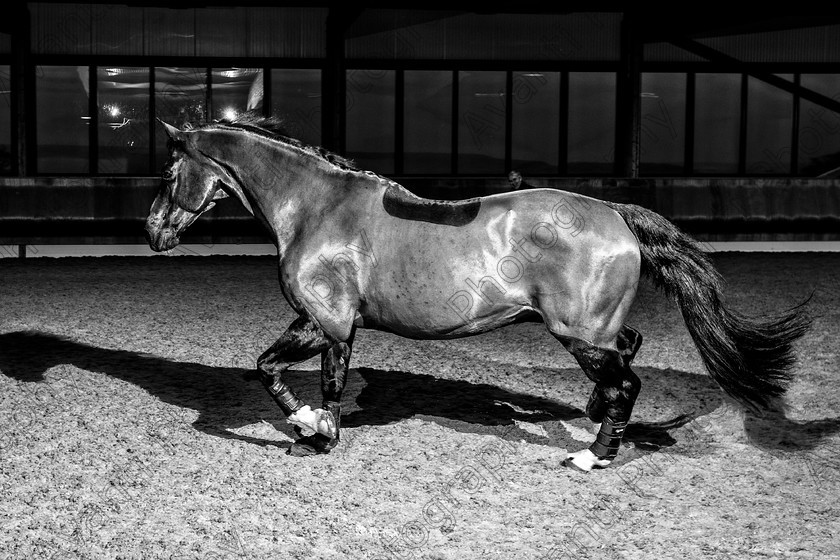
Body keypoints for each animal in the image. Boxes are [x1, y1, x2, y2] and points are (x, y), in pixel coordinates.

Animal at [144, 116, 808, 470]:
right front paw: (314, 429)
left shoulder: (325, 320)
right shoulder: (323, 324)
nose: (153, 233)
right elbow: (284, 371)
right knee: (627, 354)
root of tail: (615, 214)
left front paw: (317, 433)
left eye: (170, 171)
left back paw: (594, 454)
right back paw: (595, 418)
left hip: (577, 333)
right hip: (594, 329)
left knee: (627, 379)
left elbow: (299, 376)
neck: (315, 208)